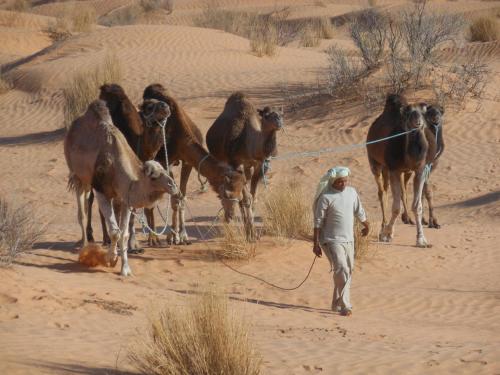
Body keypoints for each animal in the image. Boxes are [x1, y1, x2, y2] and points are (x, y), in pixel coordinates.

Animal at [64, 100, 178, 276]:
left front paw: (125, 268)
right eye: (153, 176)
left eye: (165, 171)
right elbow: (114, 231)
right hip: (79, 177)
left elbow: (123, 233)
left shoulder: (125, 198)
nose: (173, 186)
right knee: (82, 210)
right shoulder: (102, 191)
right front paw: (110, 259)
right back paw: (84, 245)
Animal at [85, 82, 173, 253]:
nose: (166, 106)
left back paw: (106, 238)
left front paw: (153, 240)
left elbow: (146, 208)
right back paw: (93, 237)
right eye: (149, 106)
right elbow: (128, 210)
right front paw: (132, 244)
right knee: (90, 199)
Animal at [141, 83, 246, 245]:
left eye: (240, 196)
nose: (230, 216)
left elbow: (181, 197)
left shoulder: (187, 162)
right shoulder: (167, 162)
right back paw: (152, 238)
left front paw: (183, 236)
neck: (181, 137)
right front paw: (173, 237)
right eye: (227, 194)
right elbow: (175, 198)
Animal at [206, 91, 284, 241]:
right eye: (266, 115)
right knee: (236, 194)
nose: (279, 122)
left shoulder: (259, 166)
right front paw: (250, 234)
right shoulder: (236, 163)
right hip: (226, 162)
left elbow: (253, 197)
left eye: (281, 114)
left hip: (248, 167)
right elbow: (246, 198)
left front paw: (253, 233)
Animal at [366, 93, 432, 248]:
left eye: (423, 112)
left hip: (393, 170)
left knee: (393, 191)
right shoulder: (394, 169)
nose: (418, 122)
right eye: (409, 113)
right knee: (382, 193)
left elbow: (417, 206)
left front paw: (421, 240)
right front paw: (387, 235)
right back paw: (382, 229)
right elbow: (396, 207)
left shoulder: (419, 170)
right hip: (375, 163)